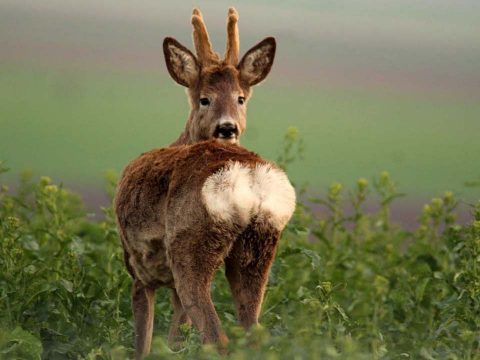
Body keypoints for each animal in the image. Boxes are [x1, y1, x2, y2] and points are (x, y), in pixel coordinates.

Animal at [115, 7, 294, 358]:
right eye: (205, 99)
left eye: (240, 98)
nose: (227, 128)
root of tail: (247, 177)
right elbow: (173, 339)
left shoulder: (138, 271)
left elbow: (144, 344)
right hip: (258, 251)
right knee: (253, 333)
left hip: (191, 248)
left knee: (217, 338)